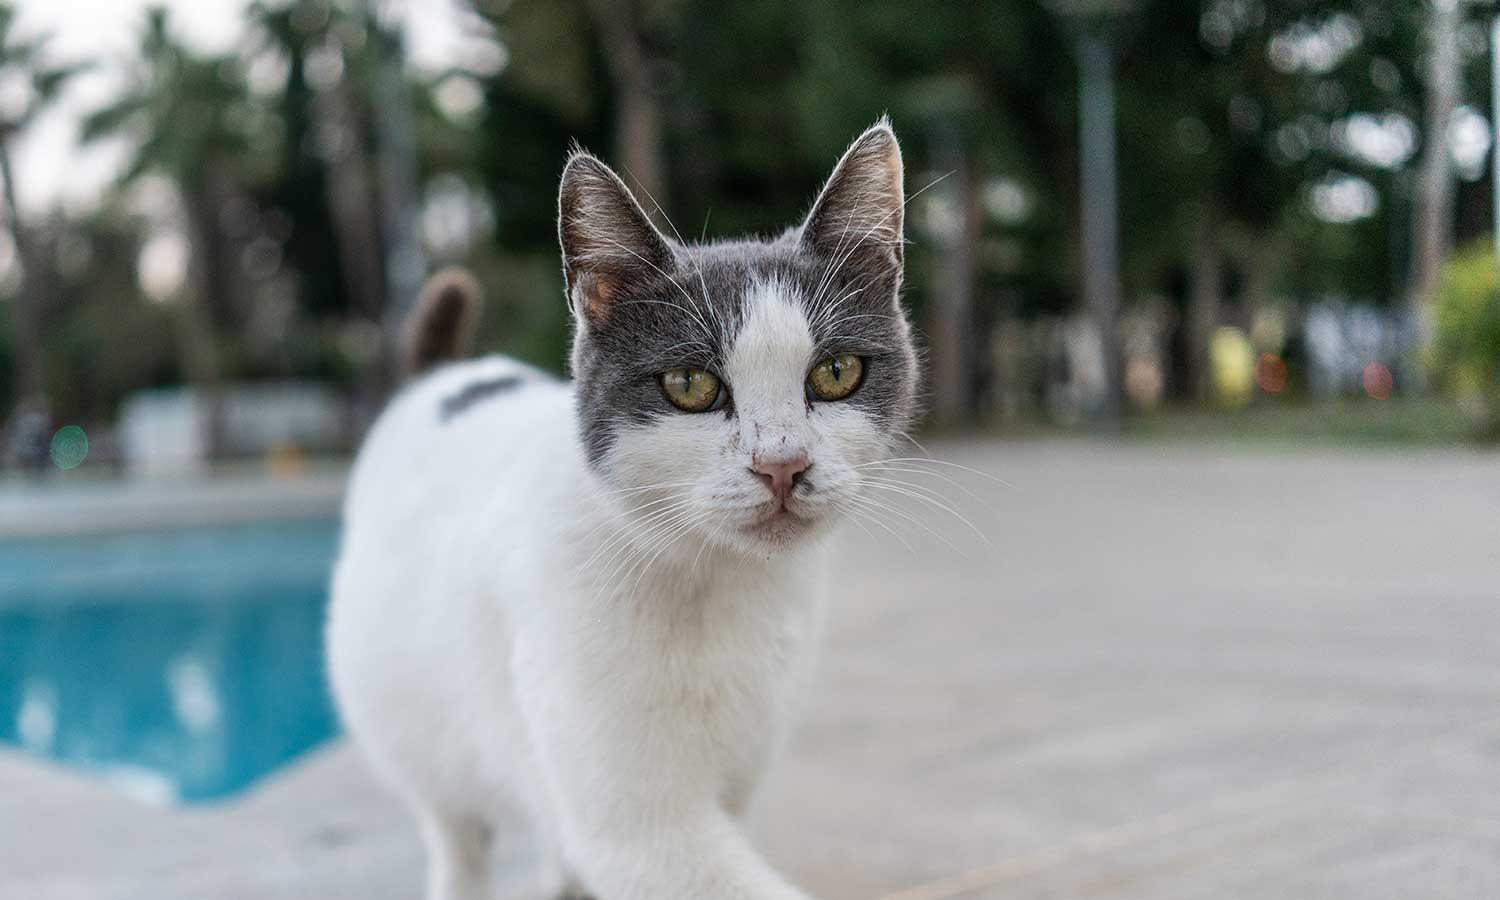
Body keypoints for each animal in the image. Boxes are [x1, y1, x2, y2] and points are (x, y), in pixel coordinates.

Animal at [325, 121, 912, 900]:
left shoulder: (743, 761)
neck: (721, 587)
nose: (782, 464)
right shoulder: (637, 819)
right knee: (456, 832)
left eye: (836, 373)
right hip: (411, 723)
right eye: (689, 385)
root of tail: (449, 376)